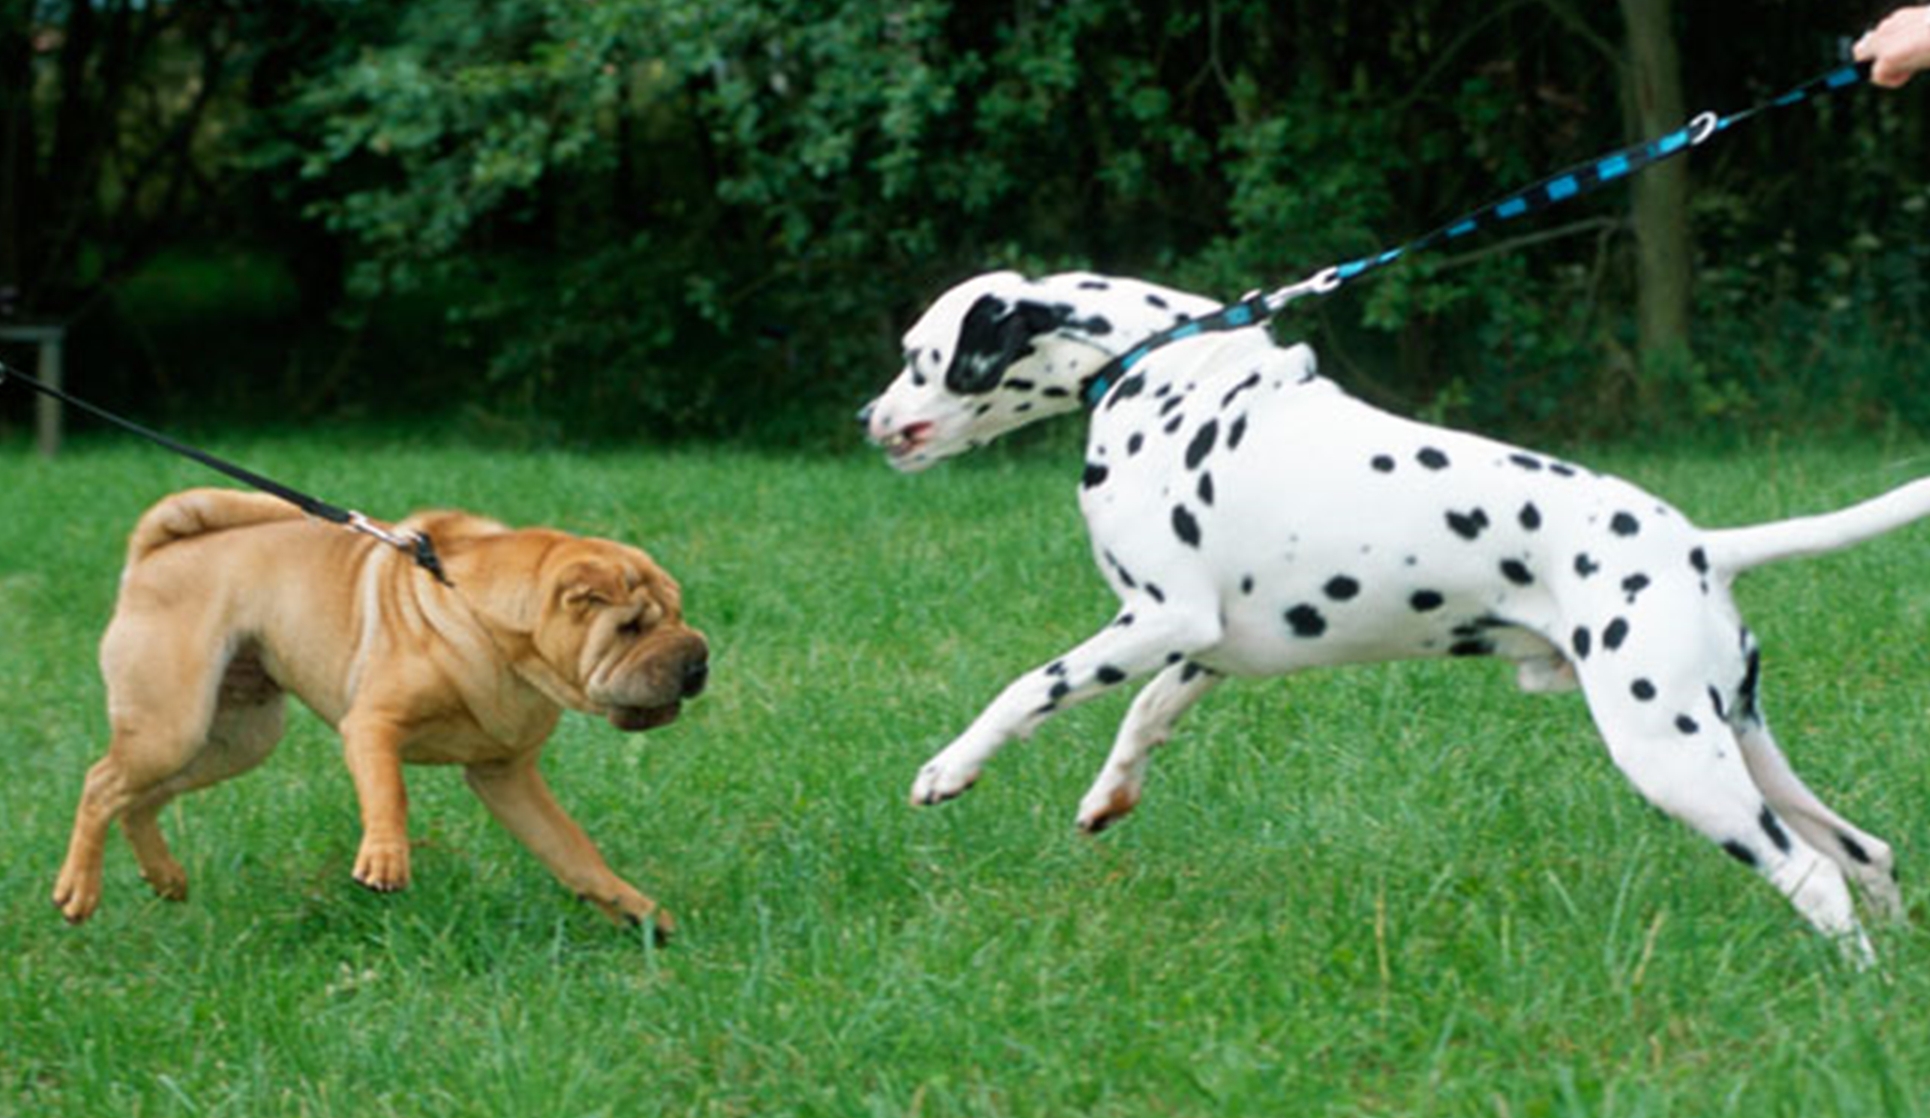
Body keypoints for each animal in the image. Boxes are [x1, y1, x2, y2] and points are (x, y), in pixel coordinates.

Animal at [52, 490, 710, 934]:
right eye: (631, 627)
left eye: (678, 613)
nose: (698, 660)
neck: (491, 628)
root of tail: (151, 557)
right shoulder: (373, 724)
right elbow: (389, 791)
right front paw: (386, 859)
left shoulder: (507, 773)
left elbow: (572, 849)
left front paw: (641, 915)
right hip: (172, 724)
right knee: (102, 784)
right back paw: (77, 890)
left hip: (234, 738)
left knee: (141, 799)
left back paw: (166, 877)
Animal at [864, 266, 1930, 957]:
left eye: (921, 357)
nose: (869, 419)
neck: (1161, 371)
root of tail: (1702, 545)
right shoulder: (1207, 645)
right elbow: (1145, 714)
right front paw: (1108, 795)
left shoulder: (1161, 620)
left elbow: (1026, 690)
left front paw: (947, 769)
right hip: (1739, 744)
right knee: (1864, 853)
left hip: (1672, 758)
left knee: (1813, 876)